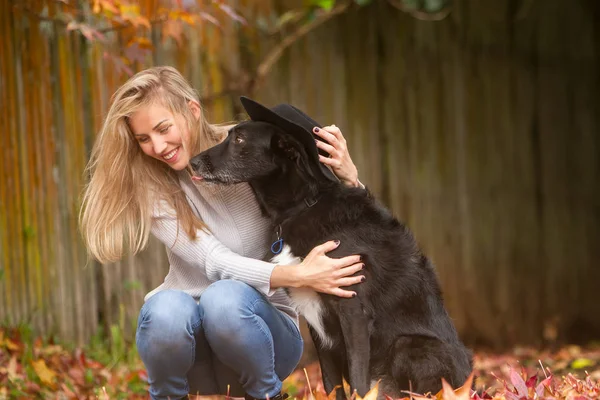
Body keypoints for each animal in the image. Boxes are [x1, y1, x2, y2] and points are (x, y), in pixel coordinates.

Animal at [190, 111, 472, 398]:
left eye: (239, 139)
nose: (192, 163)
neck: (300, 206)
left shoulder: (353, 311)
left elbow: (358, 381)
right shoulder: (316, 322)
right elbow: (331, 382)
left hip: (410, 346)